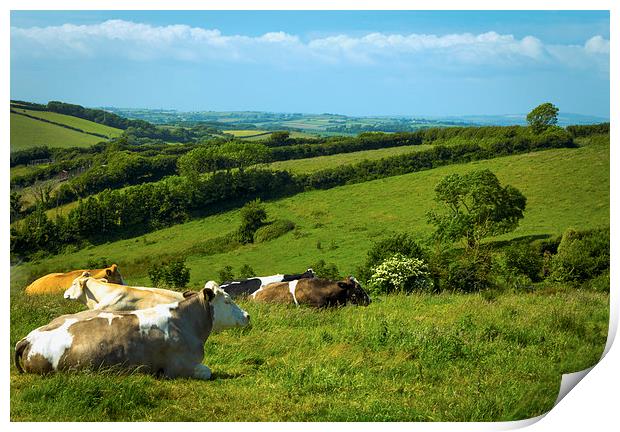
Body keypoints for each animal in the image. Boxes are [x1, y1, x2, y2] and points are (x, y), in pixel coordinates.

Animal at [13, 286, 249, 380]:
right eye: (227, 300)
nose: (247, 315)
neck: (186, 321)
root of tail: (27, 338)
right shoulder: (180, 367)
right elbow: (207, 371)